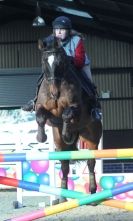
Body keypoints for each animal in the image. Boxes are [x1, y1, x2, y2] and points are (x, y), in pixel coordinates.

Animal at [34, 36, 102, 204]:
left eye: (60, 61)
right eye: (44, 61)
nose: (54, 93)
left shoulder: (75, 107)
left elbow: (66, 114)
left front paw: (66, 132)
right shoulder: (41, 107)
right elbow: (40, 116)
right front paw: (41, 137)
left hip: (92, 137)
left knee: (91, 162)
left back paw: (93, 193)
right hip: (59, 143)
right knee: (64, 165)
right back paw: (62, 197)